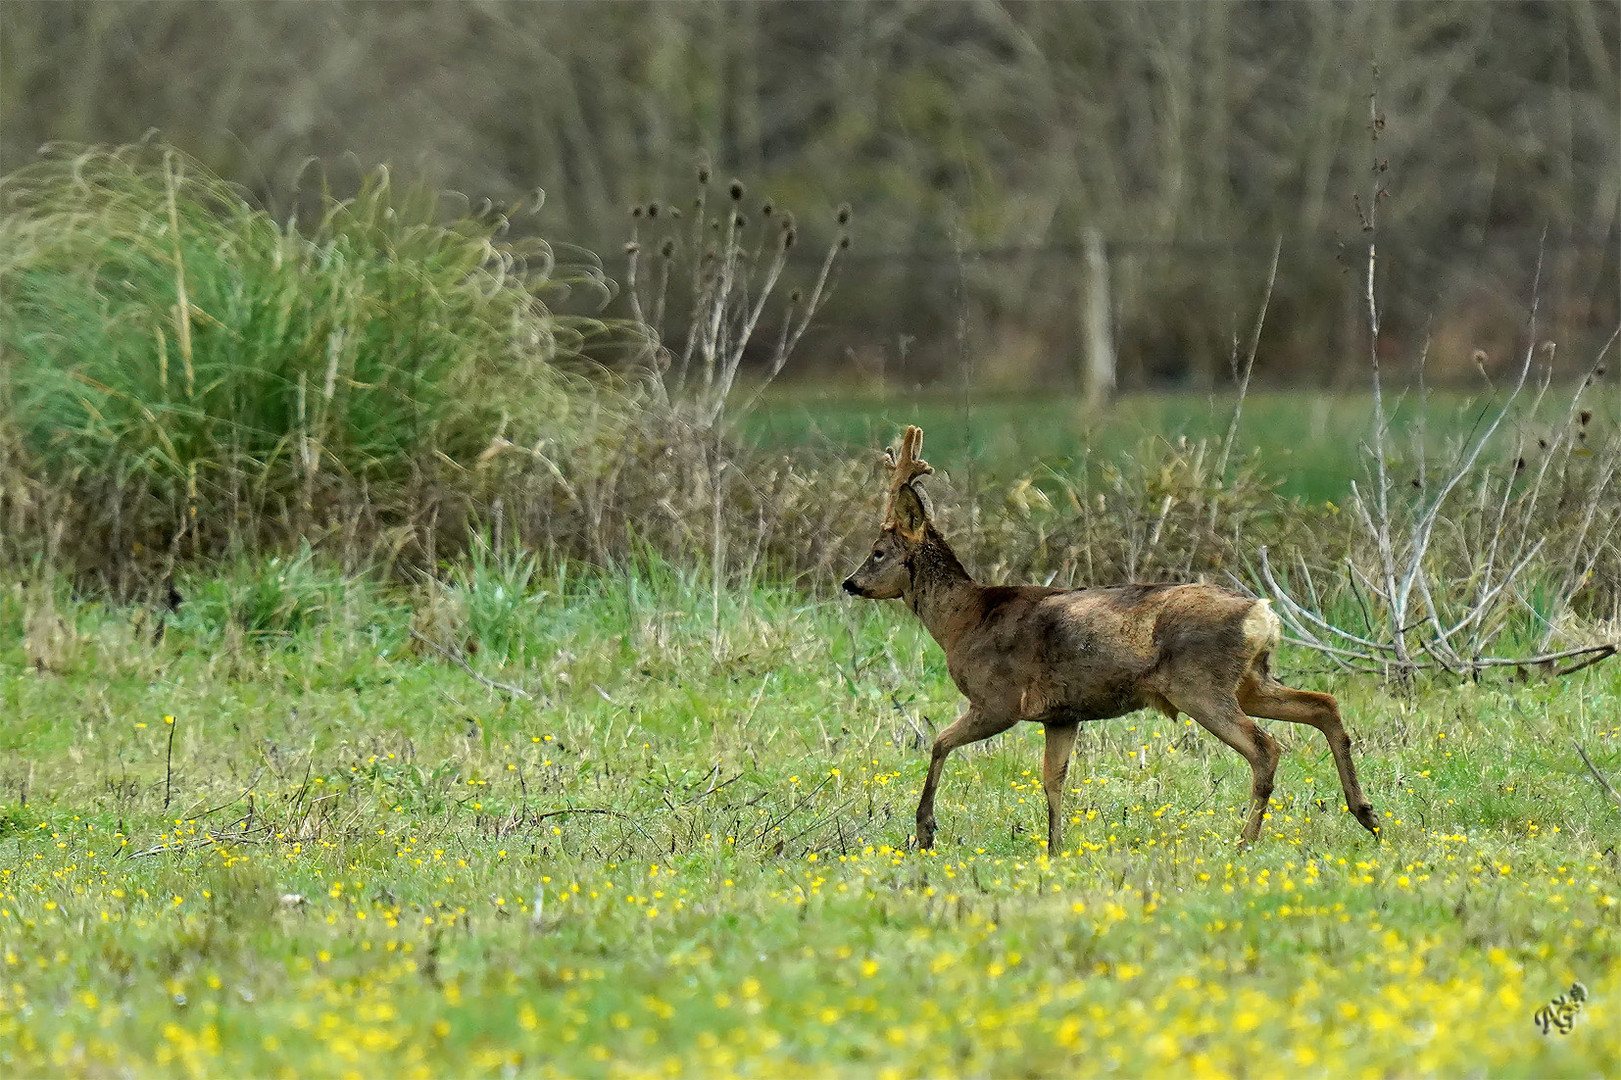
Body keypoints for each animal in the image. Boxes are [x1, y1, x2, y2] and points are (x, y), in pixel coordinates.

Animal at [842, 424, 1374, 856]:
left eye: (878, 551)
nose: (849, 583)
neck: (963, 620)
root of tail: (1261, 614)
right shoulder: (1061, 714)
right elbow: (1053, 780)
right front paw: (1056, 848)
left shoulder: (998, 699)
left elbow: (938, 743)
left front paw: (925, 831)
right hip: (1250, 680)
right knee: (1322, 704)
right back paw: (1367, 815)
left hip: (1200, 684)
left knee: (1266, 747)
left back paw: (1245, 842)